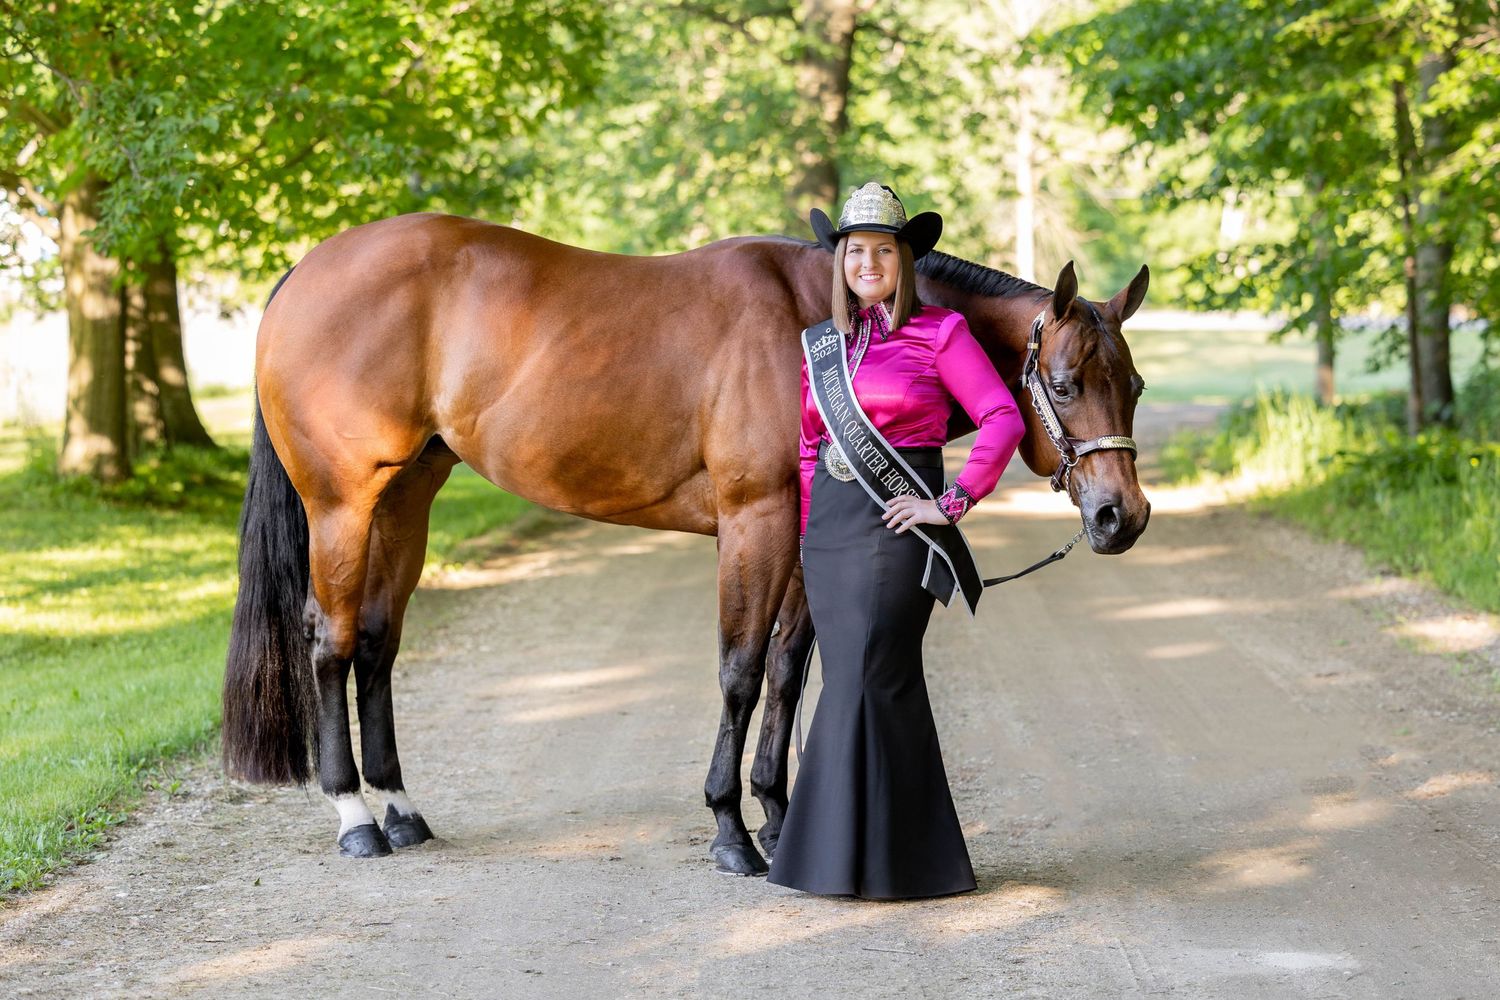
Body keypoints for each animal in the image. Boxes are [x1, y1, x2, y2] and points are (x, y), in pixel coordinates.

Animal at [221, 212, 1152, 874]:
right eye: (1065, 383)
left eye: (1135, 384)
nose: (1123, 517)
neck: (818, 319)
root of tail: (310, 268)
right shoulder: (753, 522)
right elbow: (740, 672)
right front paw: (731, 833)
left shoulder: (805, 532)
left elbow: (788, 672)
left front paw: (780, 817)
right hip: (342, 504)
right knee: (332, 640)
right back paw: (354, 817)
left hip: (406, 498)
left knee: (379, 643)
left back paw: (402, 809)